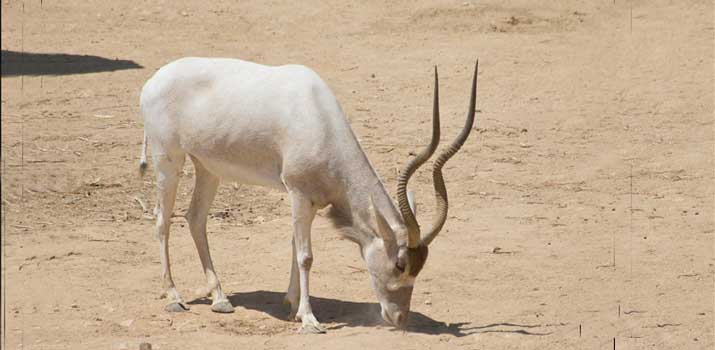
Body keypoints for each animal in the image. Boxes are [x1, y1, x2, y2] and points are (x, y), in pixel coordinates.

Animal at [138, 56, 478, 332]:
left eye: (420, 267)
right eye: (399, 264)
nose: (399, 318)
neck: (318, 116)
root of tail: (153, 81)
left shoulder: (311, 200)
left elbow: (294, 246)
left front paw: (293, 307)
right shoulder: (298, 193)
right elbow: (306, 256)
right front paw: (310, 320)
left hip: (208, 167)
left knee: (195, 217)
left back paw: (220, 298)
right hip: (168, 160)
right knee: (162, 219)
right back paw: (173, 296)